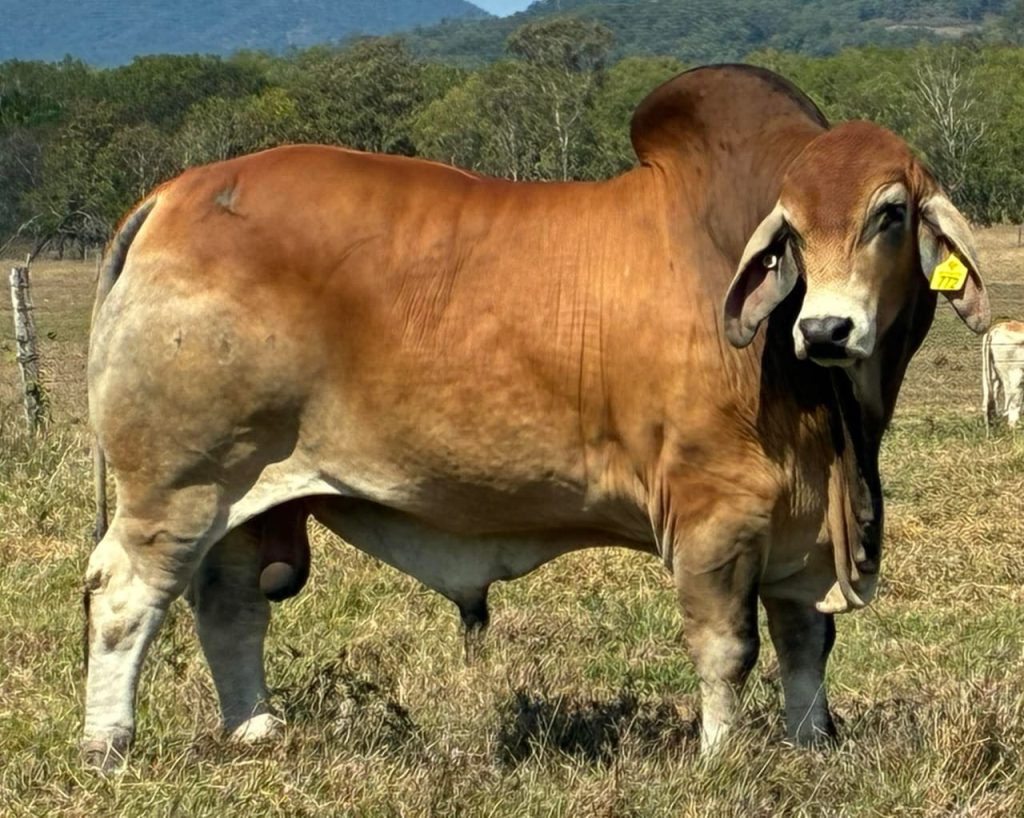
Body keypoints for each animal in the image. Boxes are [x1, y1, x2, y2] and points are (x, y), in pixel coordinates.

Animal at [81, 64, 989, 769]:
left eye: (889, 214)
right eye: (791, 231)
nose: (825, 329)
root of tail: (173, 194)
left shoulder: (801, 526)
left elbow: (806, 645)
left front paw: (811, 751)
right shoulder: (714, 513)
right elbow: (726, 648)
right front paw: (721, 760)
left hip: (241, 491)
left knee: (229, 603)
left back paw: (256, 731)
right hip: (178, 482)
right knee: (124, 593)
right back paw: (108, 745)